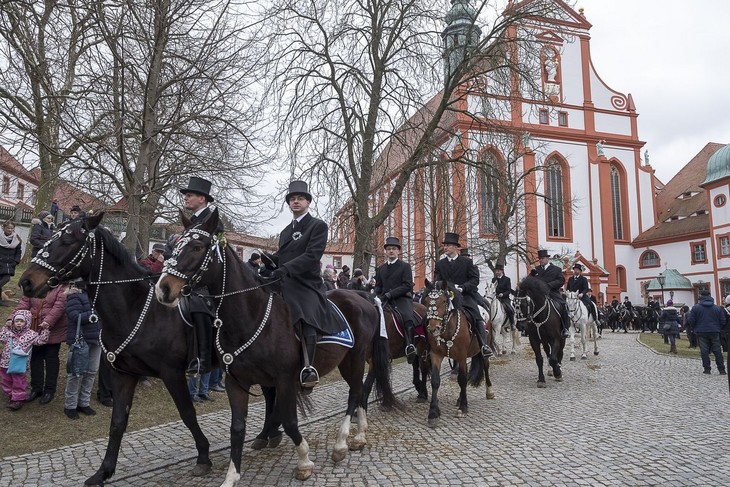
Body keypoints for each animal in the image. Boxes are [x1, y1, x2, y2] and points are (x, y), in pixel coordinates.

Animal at [17, 215, 213, 487]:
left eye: (66, 241)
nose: (26, 282)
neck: (138, 309)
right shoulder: (124, 374)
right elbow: (118, 422)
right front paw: (103, 472)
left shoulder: (172, 374)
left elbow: (187, 413)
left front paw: (203, 455)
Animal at [151, 210, 396, 484]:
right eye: (175, 246)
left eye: (196, 247)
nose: (163, 289)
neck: (250, 316)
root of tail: (363, 296)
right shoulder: (236, 382)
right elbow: (237, 428)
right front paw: (231, 477)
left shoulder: (285, 379)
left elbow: (289, 421)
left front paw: (304, 461)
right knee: (360, 392)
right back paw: (359, 436)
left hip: (354, 358)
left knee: (355, 392)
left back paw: (342, 443)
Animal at [418, 280, 492, 428]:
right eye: (427, 301)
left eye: (444, 301)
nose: (433, 328)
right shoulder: (436, 355)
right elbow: (435, 381)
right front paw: (433, 413)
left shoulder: (462, 356)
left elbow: (462, 379)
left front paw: (463, 408)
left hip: (484, 347)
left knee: (486, 366)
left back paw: (489, 391)